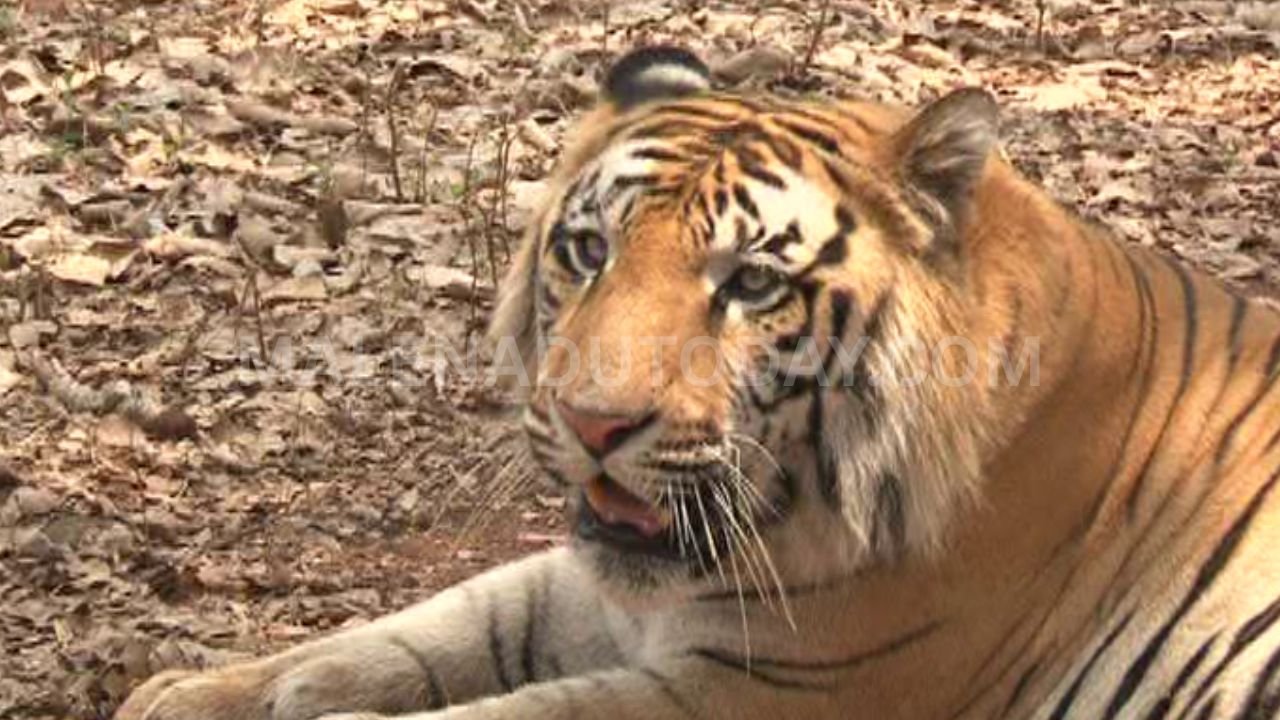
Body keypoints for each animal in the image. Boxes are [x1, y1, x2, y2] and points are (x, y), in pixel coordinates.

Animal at [116, 45, 1280, 720]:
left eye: (751, 283)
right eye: (588, 251)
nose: (591, 424)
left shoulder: (777, 686)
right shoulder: (623, 583)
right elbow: (444, 623)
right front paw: (200, 692)